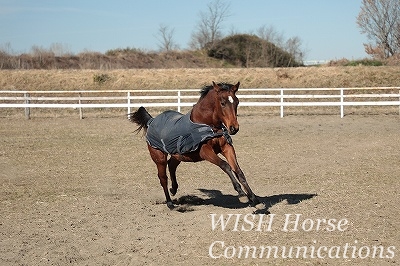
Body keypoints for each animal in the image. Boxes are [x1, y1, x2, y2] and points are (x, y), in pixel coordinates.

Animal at [126, 81, 260, 210]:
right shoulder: (205, 152)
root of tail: (151, 120)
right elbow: (225, 166)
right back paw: (170, 203)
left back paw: (174, 189)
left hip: (178, 155)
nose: (234, 128)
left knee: (171, 165)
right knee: (163, 178)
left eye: (237, 102)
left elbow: (239, 171)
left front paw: (254, 198)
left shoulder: (227, 148)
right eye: (222, 103)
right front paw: (241, 193)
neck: (206, 124)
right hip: (159, 157)